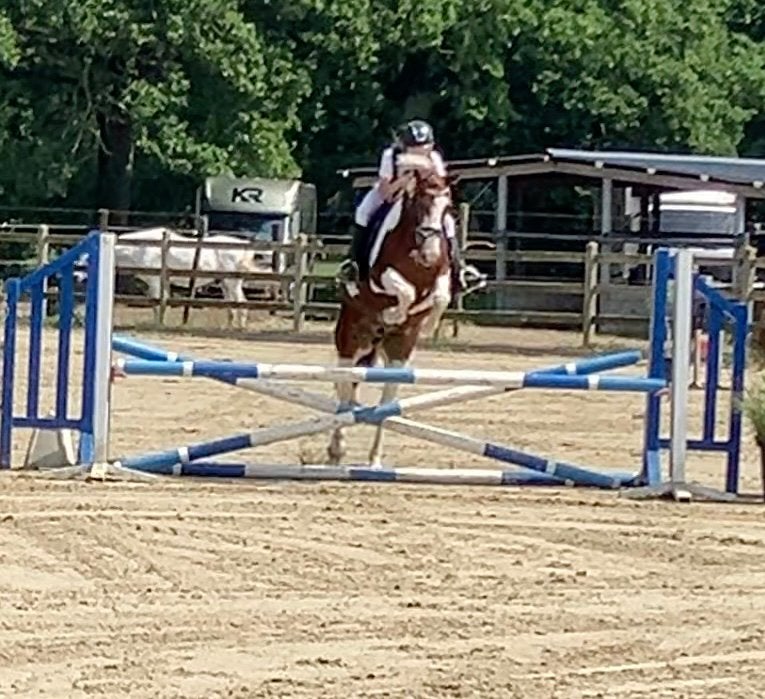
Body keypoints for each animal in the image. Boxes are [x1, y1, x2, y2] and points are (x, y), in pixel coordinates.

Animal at [328, 154, 456, 467]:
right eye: (420, 204)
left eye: (447, 208)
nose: (430, 254)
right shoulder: (379, 277)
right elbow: (403, 289)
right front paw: (395, 313)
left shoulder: (442, 277)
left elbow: (440, 296)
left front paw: (427, 319)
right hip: (351, 337)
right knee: (344, 384)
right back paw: (337, 449)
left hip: (398, 352)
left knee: (385, 399)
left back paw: (374, 459)